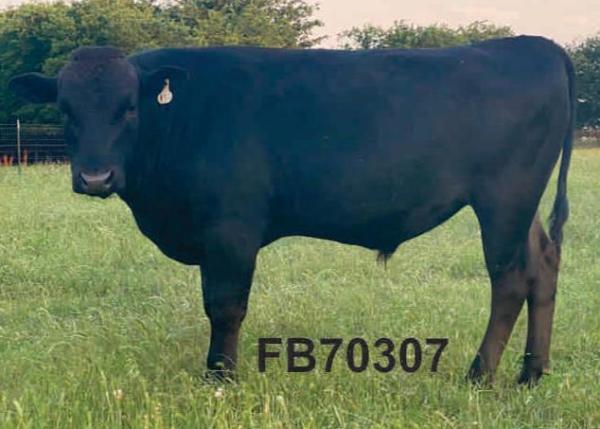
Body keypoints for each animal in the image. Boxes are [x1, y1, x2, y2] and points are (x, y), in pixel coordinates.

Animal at [8, 36, 572, 384]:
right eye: (65, 109)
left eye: (128, 108)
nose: (95, 178)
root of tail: (531, 45)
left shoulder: (231, 229)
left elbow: (225, 305)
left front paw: (220, 377)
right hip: (522, 204)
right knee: (543, 265)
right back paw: (531, 373)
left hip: (504, 198)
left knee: (510, 279)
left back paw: (480, 375)